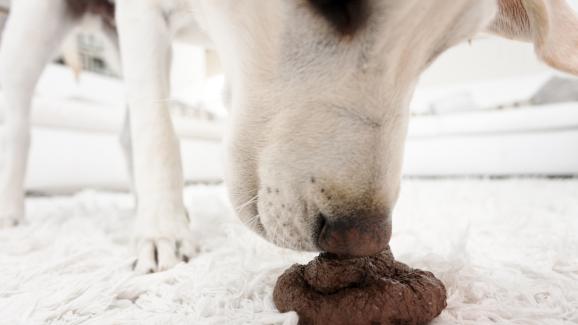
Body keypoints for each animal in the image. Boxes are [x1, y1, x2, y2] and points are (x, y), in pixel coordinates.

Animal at [1, 0, 576, 272]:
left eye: (440, 49)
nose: (360, 241)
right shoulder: (143, 14)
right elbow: (158, 136)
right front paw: (162, 233)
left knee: (125, 130)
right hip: (39, 23)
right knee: (20, 112)